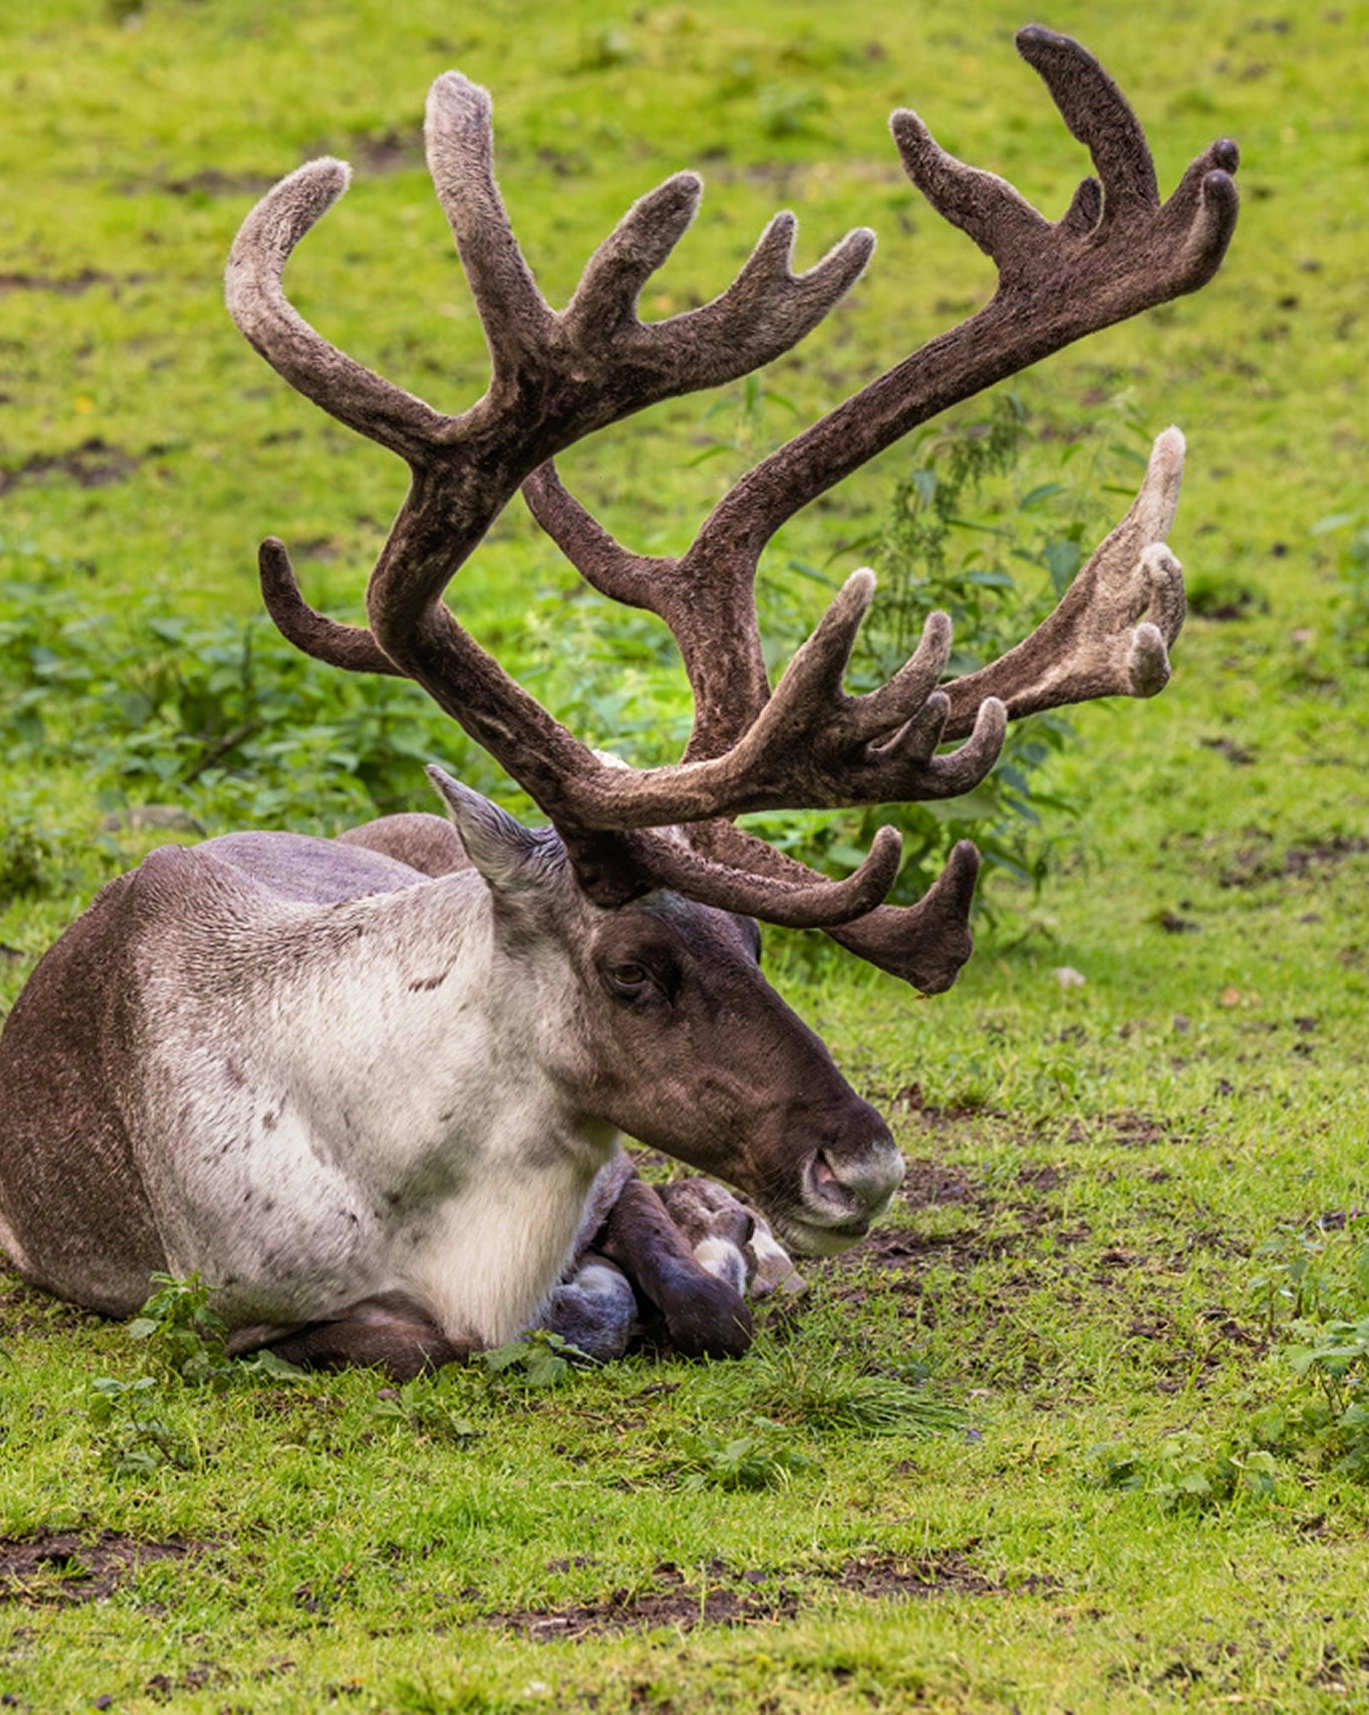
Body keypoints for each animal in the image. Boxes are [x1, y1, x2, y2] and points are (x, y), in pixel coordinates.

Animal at [0, 27, 1237, 1380]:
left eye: (755, 942)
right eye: (634, 970)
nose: (863, 1166)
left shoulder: (614, 1176)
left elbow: (693, 1289)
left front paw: (727, 1249)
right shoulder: (232, 1311)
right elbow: (433, 1337)